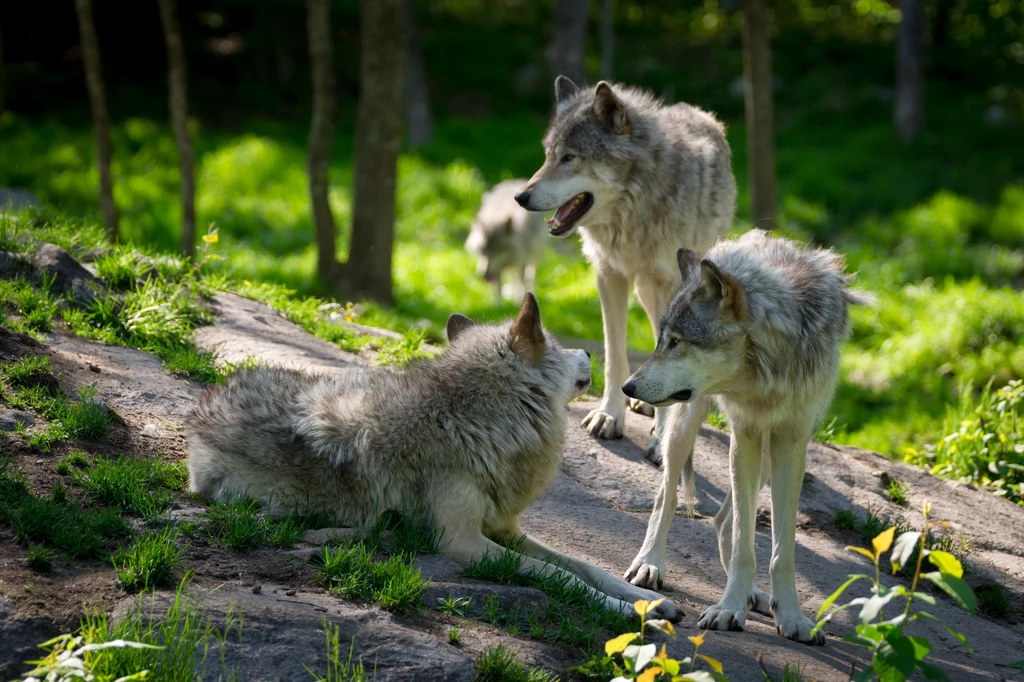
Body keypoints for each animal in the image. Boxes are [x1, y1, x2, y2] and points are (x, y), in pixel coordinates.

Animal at [186, 292, 679, 622]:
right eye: (556, 343)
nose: (589, 351)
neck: (472, 420)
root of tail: (204, 404)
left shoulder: (507, 529)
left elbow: (588, 567)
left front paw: (652, 601)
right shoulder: (464, 543)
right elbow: (562, 577)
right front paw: (634, 614)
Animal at [516, 76, 733, 462]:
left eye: (570, 158)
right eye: (547, 155)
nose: (521, 197)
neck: (633, 215)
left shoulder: (668, 286)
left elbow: (668, 351)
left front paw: (660, 438)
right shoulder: (609, 275)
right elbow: (615, 354)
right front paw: (609, 415)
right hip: (644, 291)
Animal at [618, 229, 868, 643]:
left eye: (677, 341)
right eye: (662, 340)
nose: (627, 387)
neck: (768, 368)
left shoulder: (791, 441)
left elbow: (781, 550)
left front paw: (792, 617)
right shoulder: (745, 432)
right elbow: (744, 546)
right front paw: (728, 609)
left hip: (766, 457)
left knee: (723, 522)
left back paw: (755, 595)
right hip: (686, 428)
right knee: (667, 498)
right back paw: (649, 565)